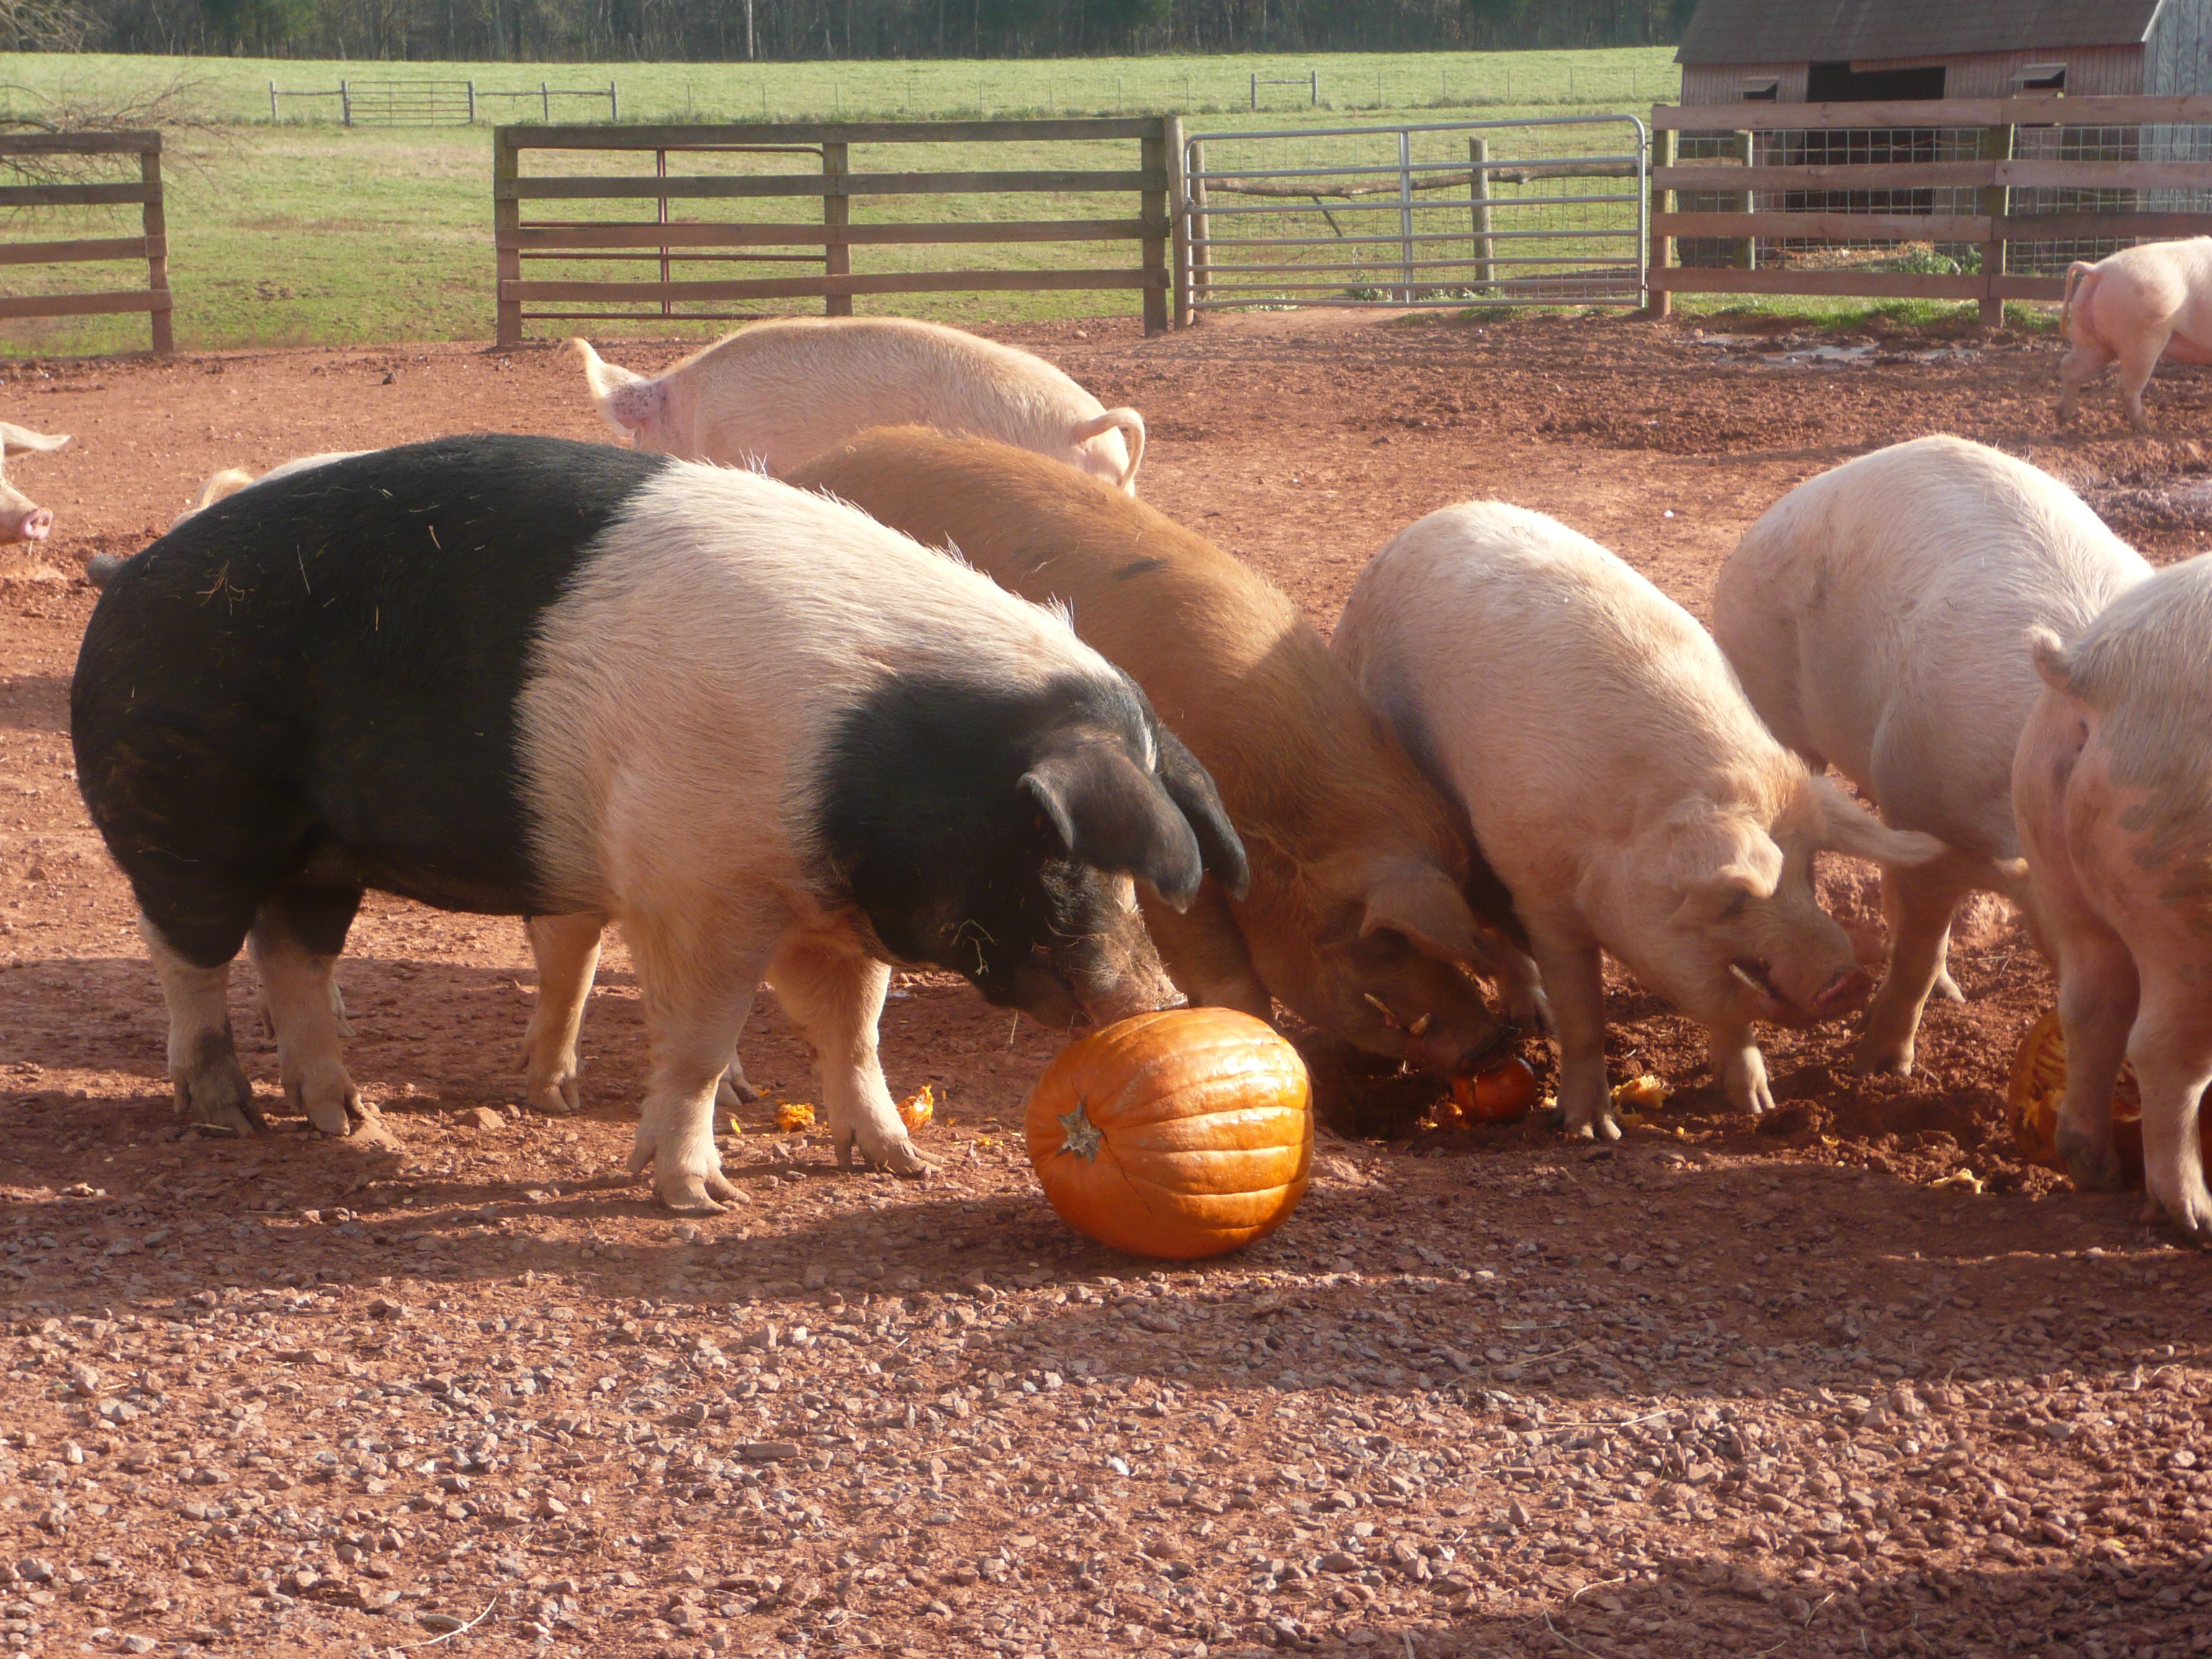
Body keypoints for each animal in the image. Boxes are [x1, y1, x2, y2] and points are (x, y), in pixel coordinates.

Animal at [73, 438, 1247, 1220]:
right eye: (1061, 853)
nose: (1152, 1002)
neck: (859, 754)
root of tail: (130, 576)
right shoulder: (697, 888)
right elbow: (696, 1045)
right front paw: (699, 1198)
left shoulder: (826, 907)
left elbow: (854, 1033)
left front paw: (896, 1163)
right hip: (183, 805)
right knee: (189, 953)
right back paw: (226, 1114)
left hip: (319, 850)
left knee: (294, 954)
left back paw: (346, 1119)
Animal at [1327, 500, 1938, 1141]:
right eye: (1733, 901)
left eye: (1809, 872)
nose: (1848, 978)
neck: (1621, 834)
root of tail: (1428, 521)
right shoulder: (1544, 893)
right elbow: (1584, 1013)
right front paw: (1591, 1131)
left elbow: (1731, 1012)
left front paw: (1756, 1106)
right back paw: (1536, 1021)